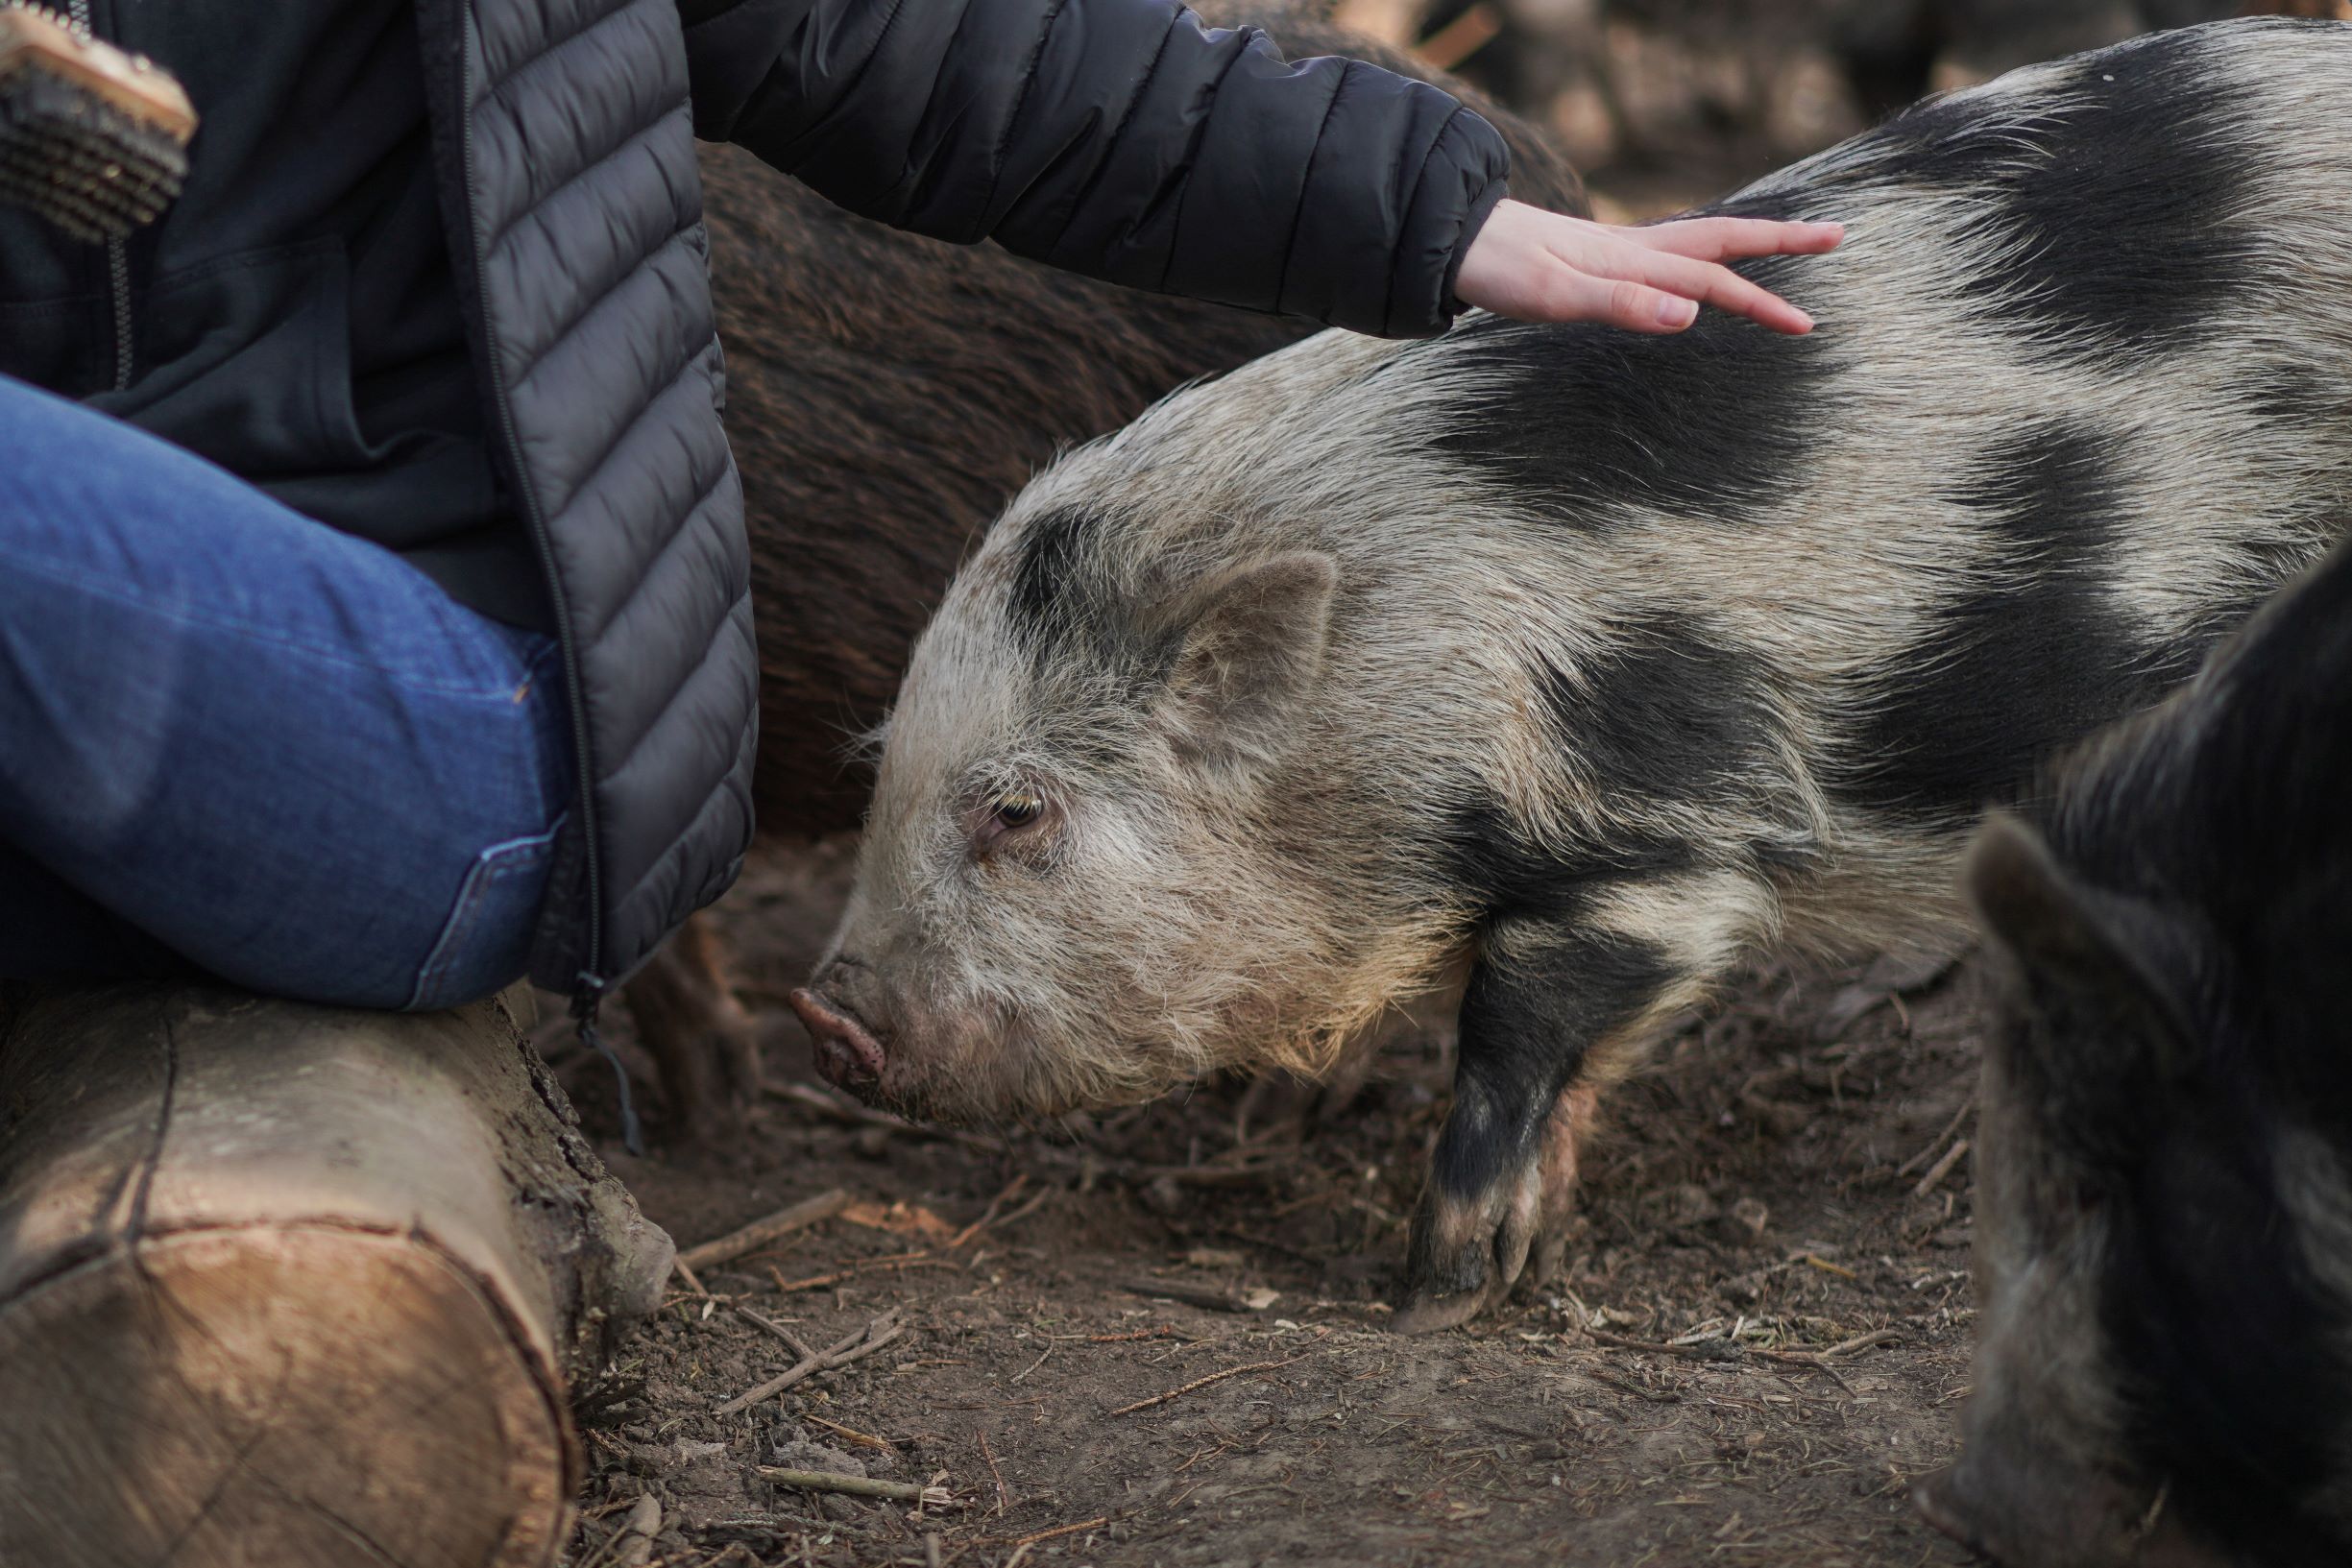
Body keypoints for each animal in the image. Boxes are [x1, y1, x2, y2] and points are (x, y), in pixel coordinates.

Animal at [791, 15, 2352, 1328]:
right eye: (884, 773)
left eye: (1017, 813)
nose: (826, 1014)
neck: (1392, 669)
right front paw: (1515, 1257)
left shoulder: (1662, 819)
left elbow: (1520, 1028)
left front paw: (1438, 1292)